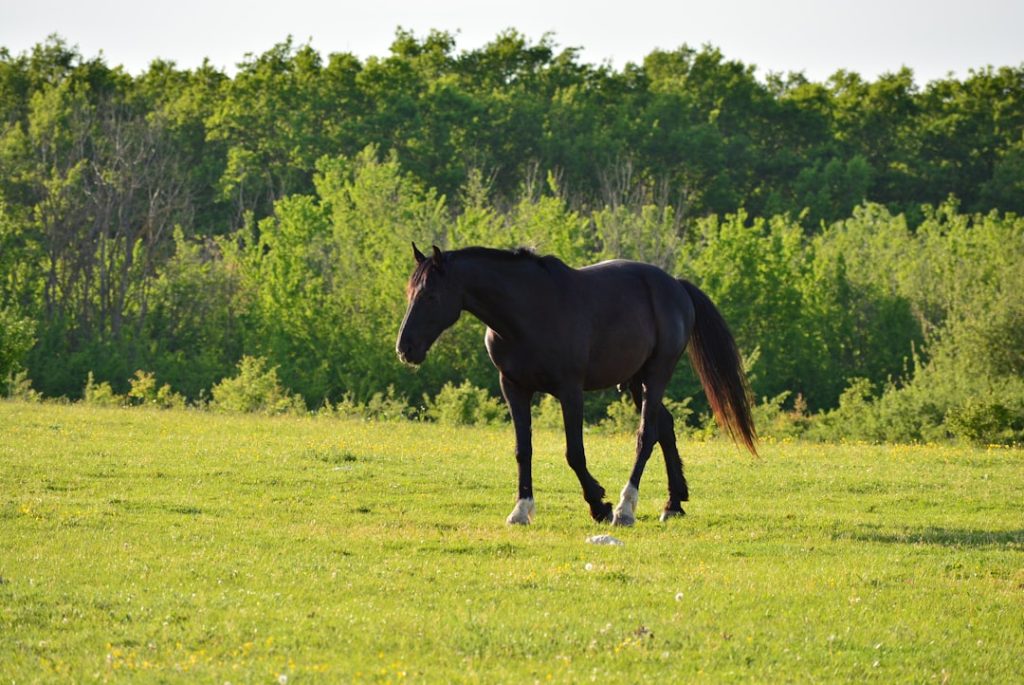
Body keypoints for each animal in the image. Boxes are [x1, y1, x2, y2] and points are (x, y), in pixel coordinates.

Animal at [396, 244, 757, 526]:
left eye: (430, 295)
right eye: (410, 293)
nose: (405, 348)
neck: (528, 312)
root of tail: (676, 286)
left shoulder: (570, 392)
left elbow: (574, 453)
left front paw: (599, 505)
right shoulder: (514, 388)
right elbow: (523, 450)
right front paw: (521, 510)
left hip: (656, 375)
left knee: (647, 435)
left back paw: (625, 508)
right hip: (635, 379)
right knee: (665, 427)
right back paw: (673, 504)